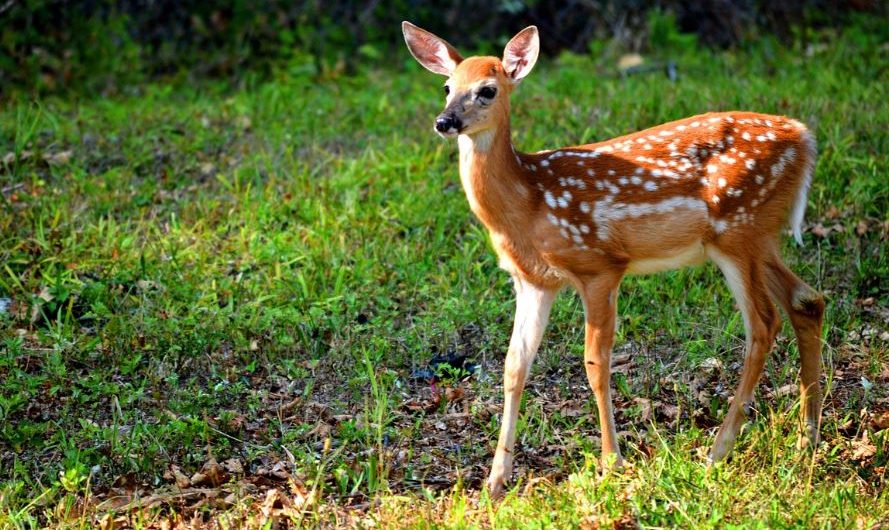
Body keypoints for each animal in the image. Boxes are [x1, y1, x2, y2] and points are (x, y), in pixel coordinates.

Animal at [401, 22, 825, 499]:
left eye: (488, 90)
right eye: (447, 87)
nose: (445, 121)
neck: (528, 203)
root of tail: (805, 138)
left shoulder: (599, 266)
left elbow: (595, 364)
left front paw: (611, 462)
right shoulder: (533, 280)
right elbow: (514, 366)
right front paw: (495, 480)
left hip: (738, 231)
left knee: (764, 323)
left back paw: (719, 449)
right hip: (760, 236)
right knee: (806, 300)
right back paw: (807, 436)